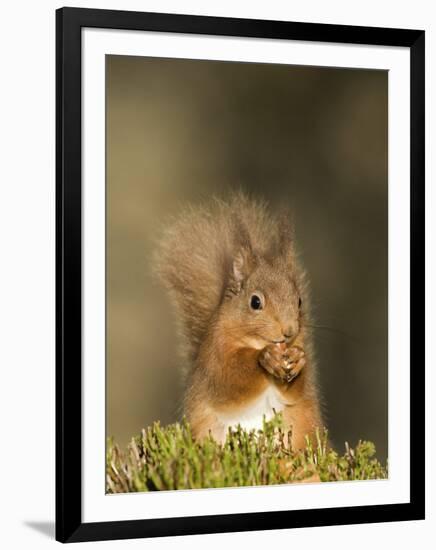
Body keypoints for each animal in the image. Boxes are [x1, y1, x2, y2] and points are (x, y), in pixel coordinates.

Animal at [154, 192, 324, 450]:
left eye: (299, 301)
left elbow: (296, 392)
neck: (254, 341)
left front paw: (296, 359)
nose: (289, 331)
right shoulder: (214, 360)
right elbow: (230, 382)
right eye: (255, 302)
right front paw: (264, 358)